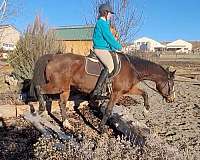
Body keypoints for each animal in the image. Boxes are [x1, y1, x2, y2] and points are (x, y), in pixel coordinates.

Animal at [29, 52, 175, 132]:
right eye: (171, 84)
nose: (171, 100)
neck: (132, 69)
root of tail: (54, 57)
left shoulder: (127, 90)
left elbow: (145, 93)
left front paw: (146, 110)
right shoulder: (116, 93)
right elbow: (109, 110)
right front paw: (101, 128)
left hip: (65, 88)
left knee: (62, 104)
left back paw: (66, 124)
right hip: (58, 86)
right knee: (39, 88)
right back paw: (40, 108)